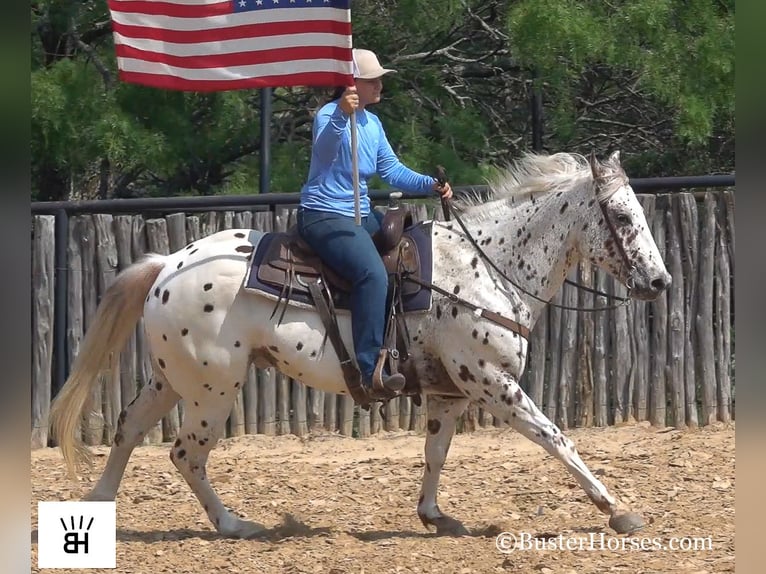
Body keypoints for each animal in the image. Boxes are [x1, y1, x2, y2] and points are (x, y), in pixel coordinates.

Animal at [49, 152, 672, 540]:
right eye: (621, 215)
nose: (660, 281)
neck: (487, 267)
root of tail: (166, 265)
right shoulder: (494, 384)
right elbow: (557, 439)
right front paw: (617, 509)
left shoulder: (449, 394)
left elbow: (436, 453)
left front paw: (434, 515)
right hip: (212, 388)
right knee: (186, 453)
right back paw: (234, 525)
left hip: (172, 378)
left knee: (130, 428)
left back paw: (100, 506)